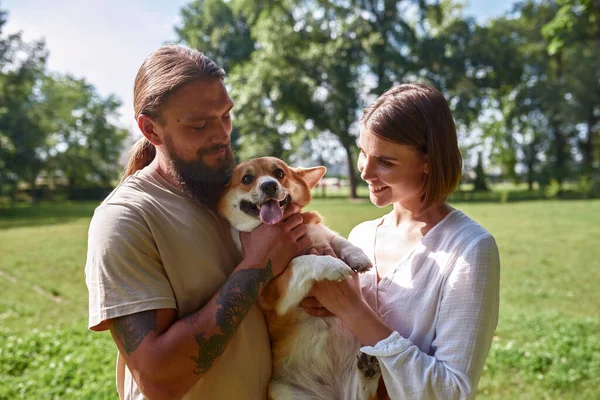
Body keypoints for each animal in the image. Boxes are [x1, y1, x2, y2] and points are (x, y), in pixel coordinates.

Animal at [219, 157, 380, 400]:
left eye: (279, 173)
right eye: (246, 179)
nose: (269, 186)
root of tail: (334, 394)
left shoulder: (321, 231)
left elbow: (336, 238)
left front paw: (357, 257)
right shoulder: (275, 290)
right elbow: (302, 261)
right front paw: (333, 265)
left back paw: (369, 372)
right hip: (284, 391)